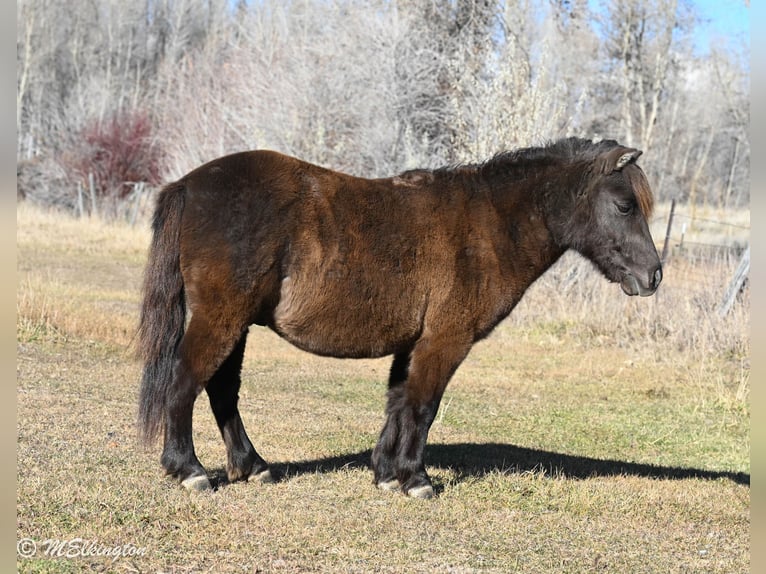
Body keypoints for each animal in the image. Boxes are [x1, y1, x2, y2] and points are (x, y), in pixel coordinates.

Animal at [137, 137, 662, 498]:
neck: (490, 225)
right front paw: (416, 479)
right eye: (624, 205)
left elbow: (398, 402)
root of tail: (188, 183)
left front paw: (387, 474)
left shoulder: (412, 342)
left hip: (236, 322)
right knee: (185, 381)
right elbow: (423, 406)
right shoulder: (444, 341)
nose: (653, 275)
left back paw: (253, 466)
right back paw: (189, 470)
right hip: (222, 318)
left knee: (221, 389)